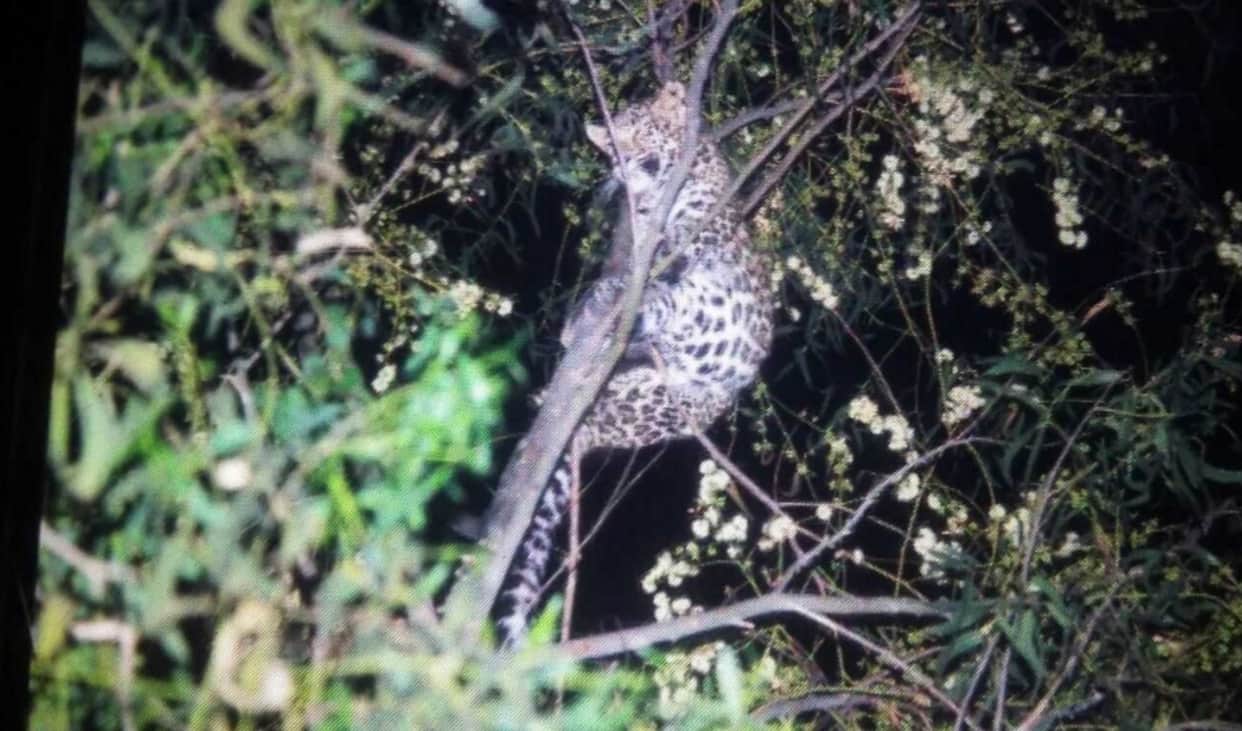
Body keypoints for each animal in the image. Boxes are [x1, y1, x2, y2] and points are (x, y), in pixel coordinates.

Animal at [496, 81, 775, 646]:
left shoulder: (711, 224)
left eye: (642, 130)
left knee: (664, 302)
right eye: (612, 143)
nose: (628, 161)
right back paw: (584, 326)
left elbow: (687, 236)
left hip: (708, 316)